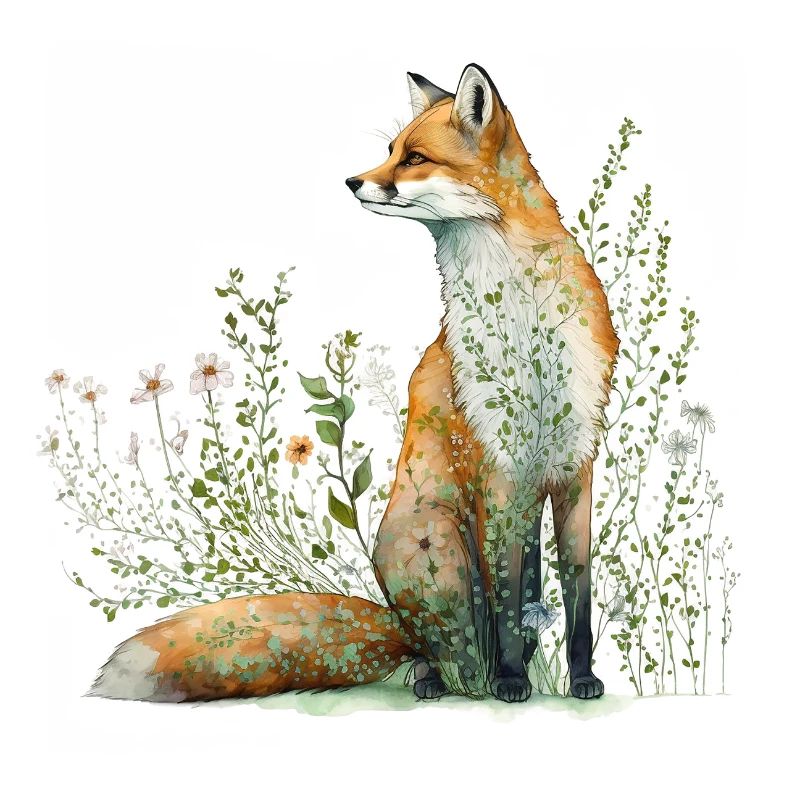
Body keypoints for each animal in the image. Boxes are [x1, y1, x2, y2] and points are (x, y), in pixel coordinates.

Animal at [91, 64, 617, 704]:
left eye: (413, 157)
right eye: (389, 151)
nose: (351, 181)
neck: (523, 322)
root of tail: (393, 615)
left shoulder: (574, 466)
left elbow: (578, 599)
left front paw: (583, 678)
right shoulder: (495, 472)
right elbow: (506, 603)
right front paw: (513, 681)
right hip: (441, 544)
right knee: (436, 649)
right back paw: (447, 680)